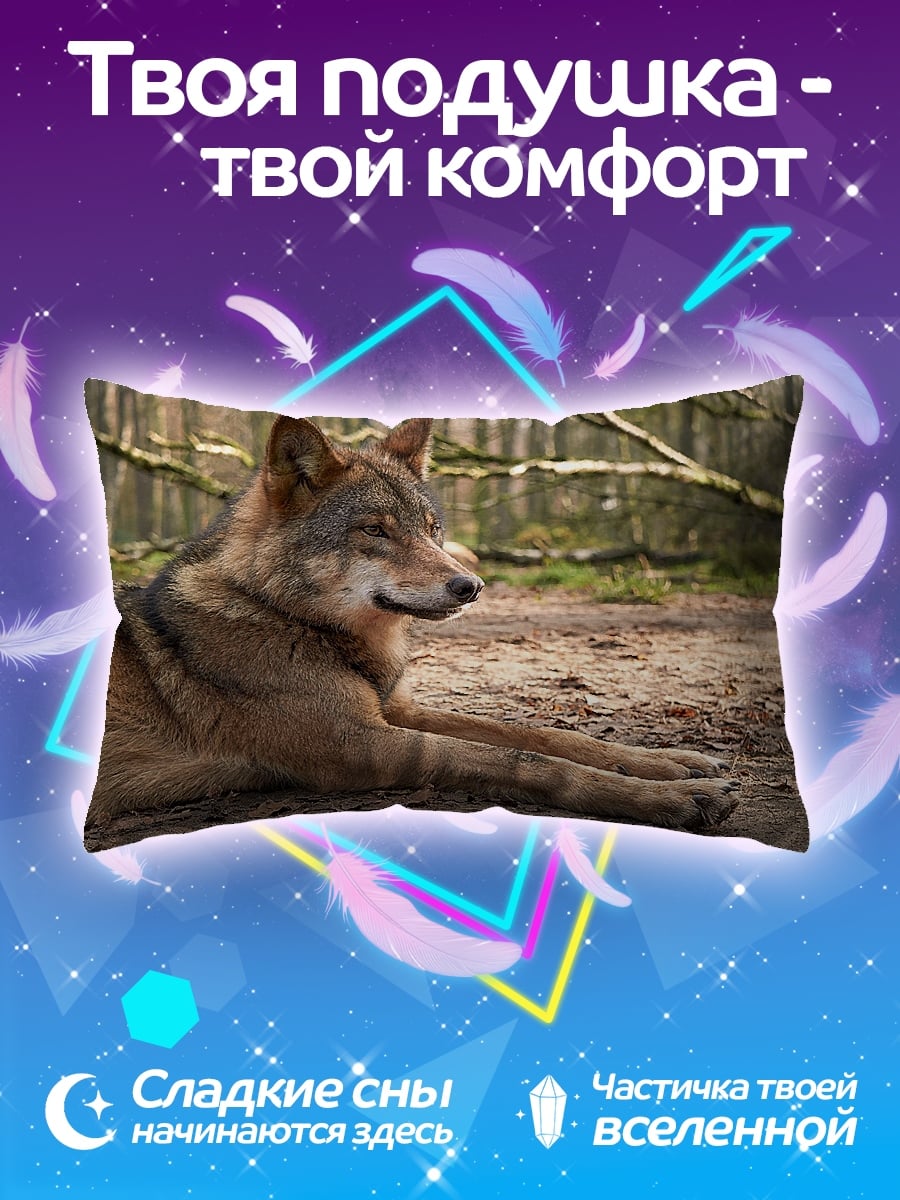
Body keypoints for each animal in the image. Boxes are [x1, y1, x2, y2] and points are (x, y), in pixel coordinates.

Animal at [85, 416, 738, 844]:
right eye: (375, 530)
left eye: (430, 528)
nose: (471, 586)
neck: (284, 615)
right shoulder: (359, 746)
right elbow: (525, 759)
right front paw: (676, 798)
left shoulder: (394, 710)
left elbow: (543, 734)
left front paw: (677, 763)